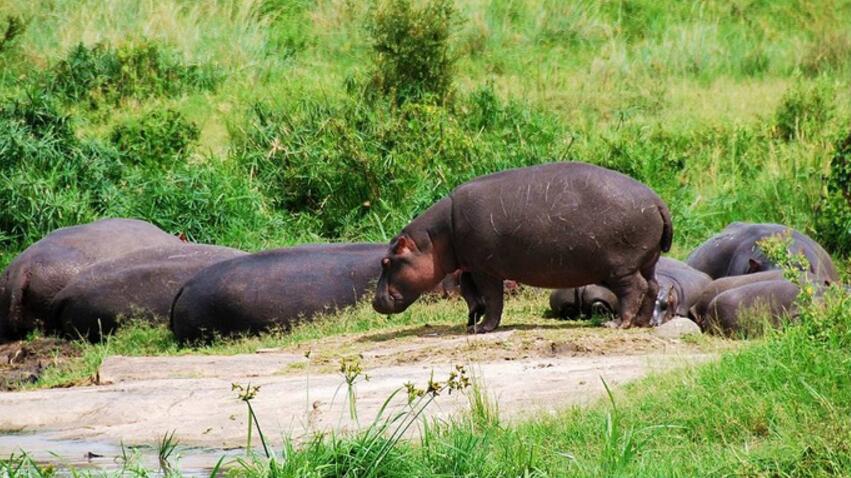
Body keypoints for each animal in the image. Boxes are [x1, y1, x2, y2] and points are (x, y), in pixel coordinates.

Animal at [372, 162, 672, 332]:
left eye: (386, 261)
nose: (375, 302)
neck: (434, 239)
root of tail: (657, 200)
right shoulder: (469, 267)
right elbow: (472, 296)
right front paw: (471, 322)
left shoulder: (485, 269)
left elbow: (493, 299)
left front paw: (483, 329)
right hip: (648, 261)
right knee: (652, 286)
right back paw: (642, 323)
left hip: (620, 267)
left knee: (635, 289)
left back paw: (618, 324)